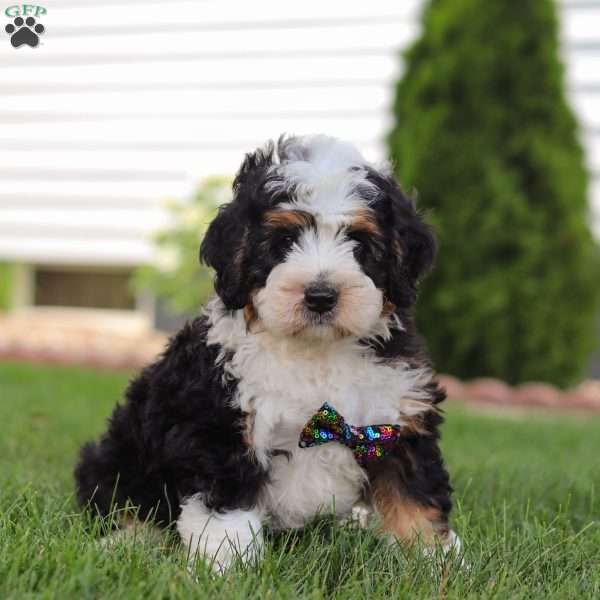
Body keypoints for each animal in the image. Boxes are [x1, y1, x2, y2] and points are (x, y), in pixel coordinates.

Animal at [75, 135, 460, 572]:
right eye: (284, 242)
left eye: (359, 244)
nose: (321, 296)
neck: (317, 351)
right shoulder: (220, 426)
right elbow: (225, 507)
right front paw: (225, 567)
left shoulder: (396, 417)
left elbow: (414, 494)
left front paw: (433, 560)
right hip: (120, 453)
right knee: (122, 500)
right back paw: (126, 541)